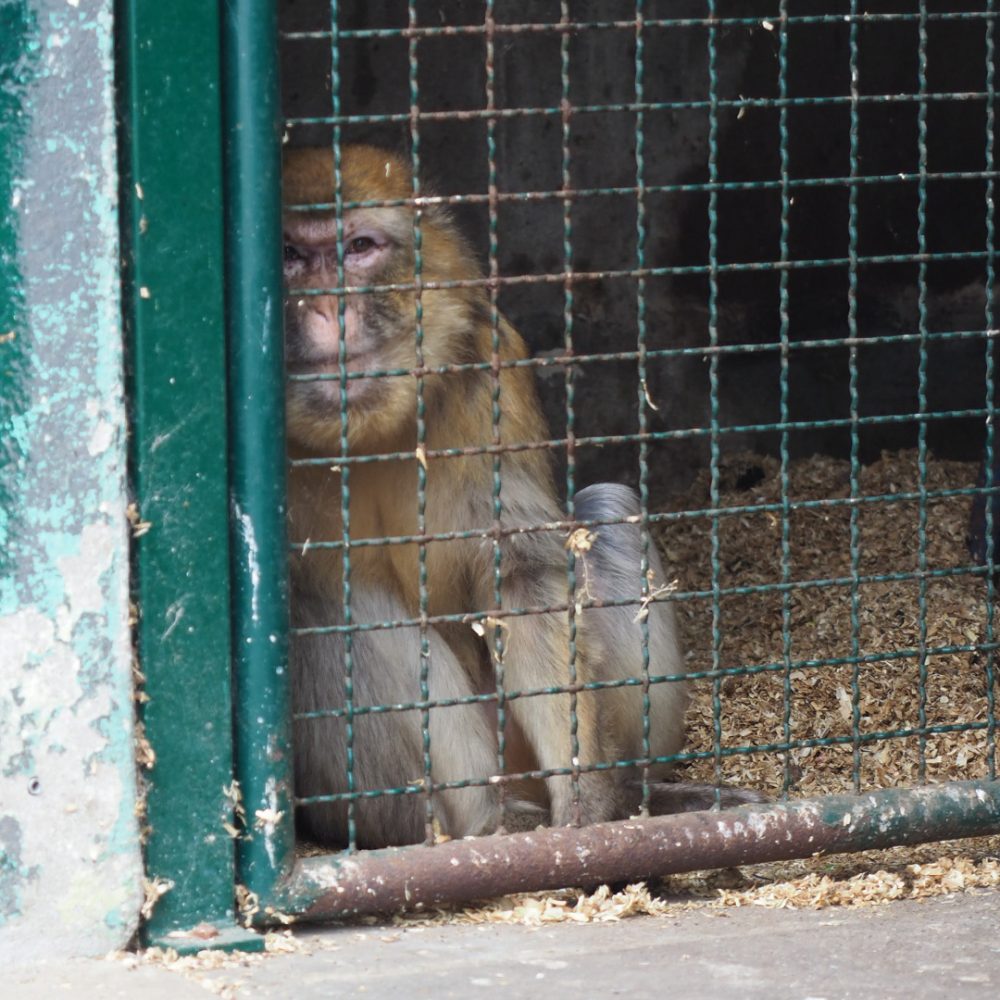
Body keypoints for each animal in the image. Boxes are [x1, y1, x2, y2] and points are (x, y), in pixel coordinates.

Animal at [283, 145, 761, 849]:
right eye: (292, 256)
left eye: (359, 247)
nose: (325, 310)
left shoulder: (488, 370)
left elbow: (525, 572)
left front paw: (589, 802)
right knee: (333, 600)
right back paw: (484, 825)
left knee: (608, 510)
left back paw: (637, 794)